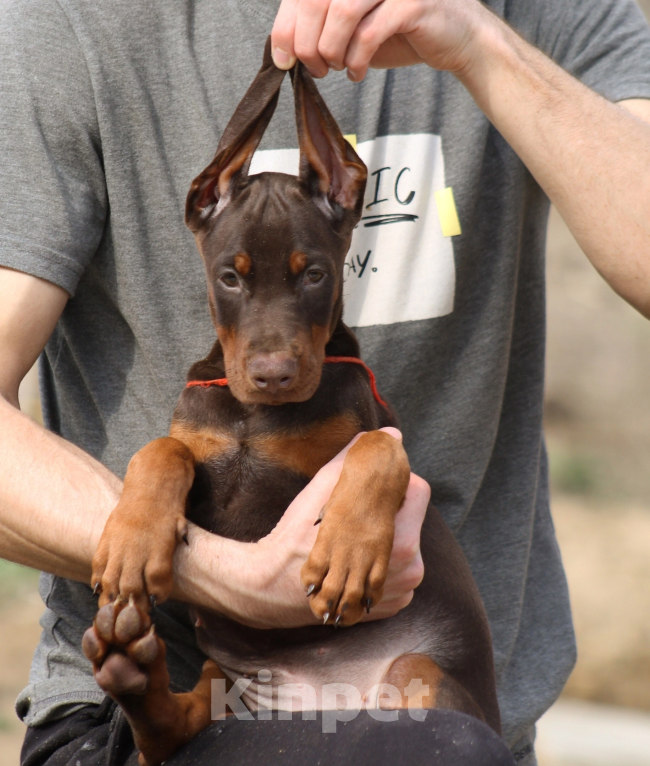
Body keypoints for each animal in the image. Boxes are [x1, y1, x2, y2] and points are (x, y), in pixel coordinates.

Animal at [81, 40, 502, 766]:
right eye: (230, 276)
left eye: (315, 275)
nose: (274, 375)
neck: (258, 416)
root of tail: (321, 707)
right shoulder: (201, 423)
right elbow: (160, 449)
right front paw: (133, 541)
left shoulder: (375, 429)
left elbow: (377, 448)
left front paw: (349, 551)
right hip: (225, 689)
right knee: (171, 731)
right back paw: (127, 662)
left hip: (416, 674)